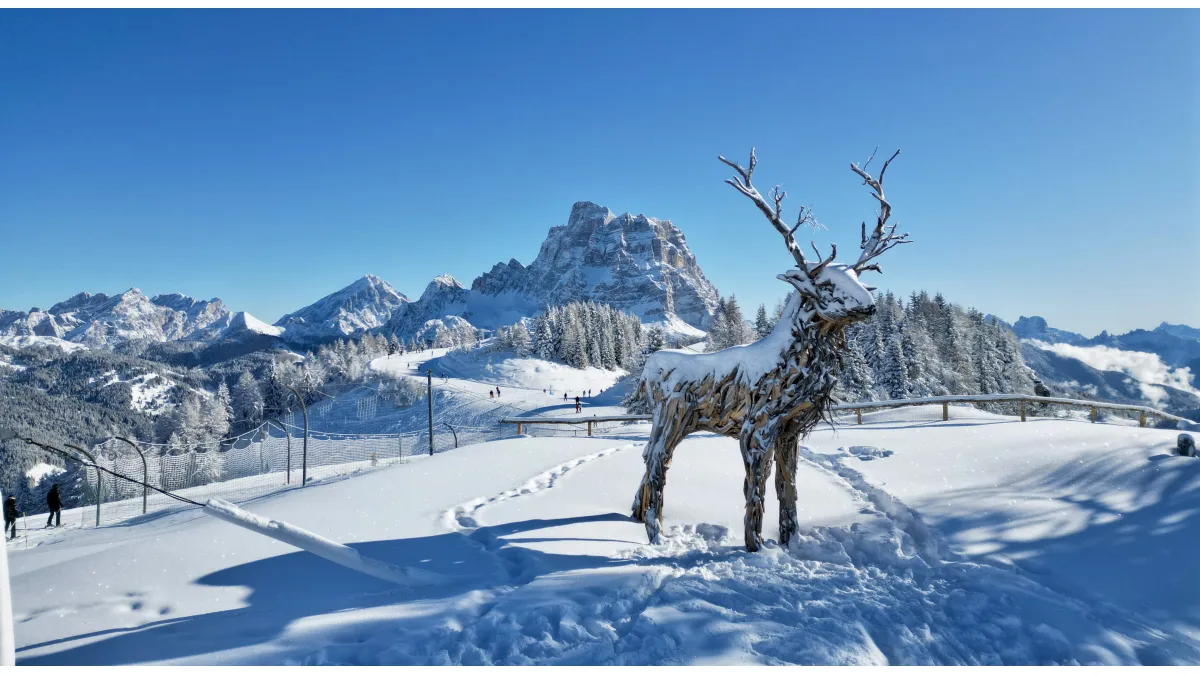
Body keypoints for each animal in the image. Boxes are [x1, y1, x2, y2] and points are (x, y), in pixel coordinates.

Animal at [631, 147, 910, 552]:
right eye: (826, 285)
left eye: (857, 277)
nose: (871, 305)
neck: (794, 369)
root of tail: (647, 370)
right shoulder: (757, 426)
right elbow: (756, 487)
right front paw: (756, 545)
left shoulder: (791, 429)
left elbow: (787, 485)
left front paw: (790, 540)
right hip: (672, 416)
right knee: (656, 461)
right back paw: (655, 533)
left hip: (662, 420)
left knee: (644, 455)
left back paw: (635, 517)